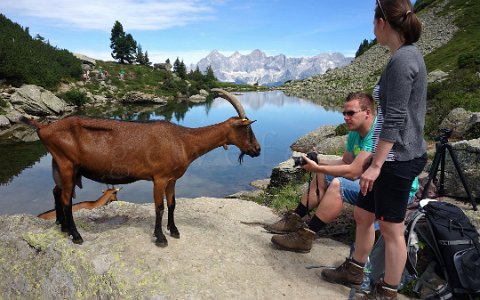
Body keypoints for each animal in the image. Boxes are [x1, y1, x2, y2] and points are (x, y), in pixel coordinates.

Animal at [20, 89, 260, 246]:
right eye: (247, 129)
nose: (257, 150)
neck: (184, 140)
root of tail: (44, 128)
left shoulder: (172, 179)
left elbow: (172, 205)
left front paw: (174, 231)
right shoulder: (159, 178)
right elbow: (159, 207)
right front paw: (160, 238)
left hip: (59, 166)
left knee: (57, 192)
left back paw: (61, 227)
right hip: (67, 164)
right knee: (66, 200)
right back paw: (76, 236)